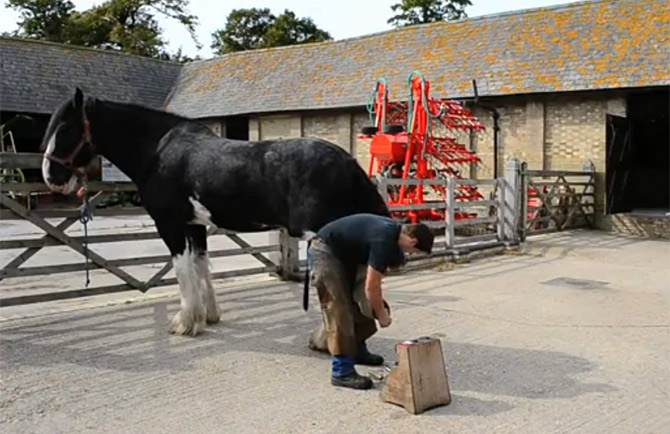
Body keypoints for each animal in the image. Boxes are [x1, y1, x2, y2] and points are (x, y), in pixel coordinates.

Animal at [40, 88, 388, 338]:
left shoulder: (170, 224)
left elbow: (182, 271)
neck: (158, 151)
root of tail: (347, 163)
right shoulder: (195, 225)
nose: (50, 177)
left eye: (65, 127)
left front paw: (184, 323)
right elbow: (201, 266)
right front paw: (208, 316)